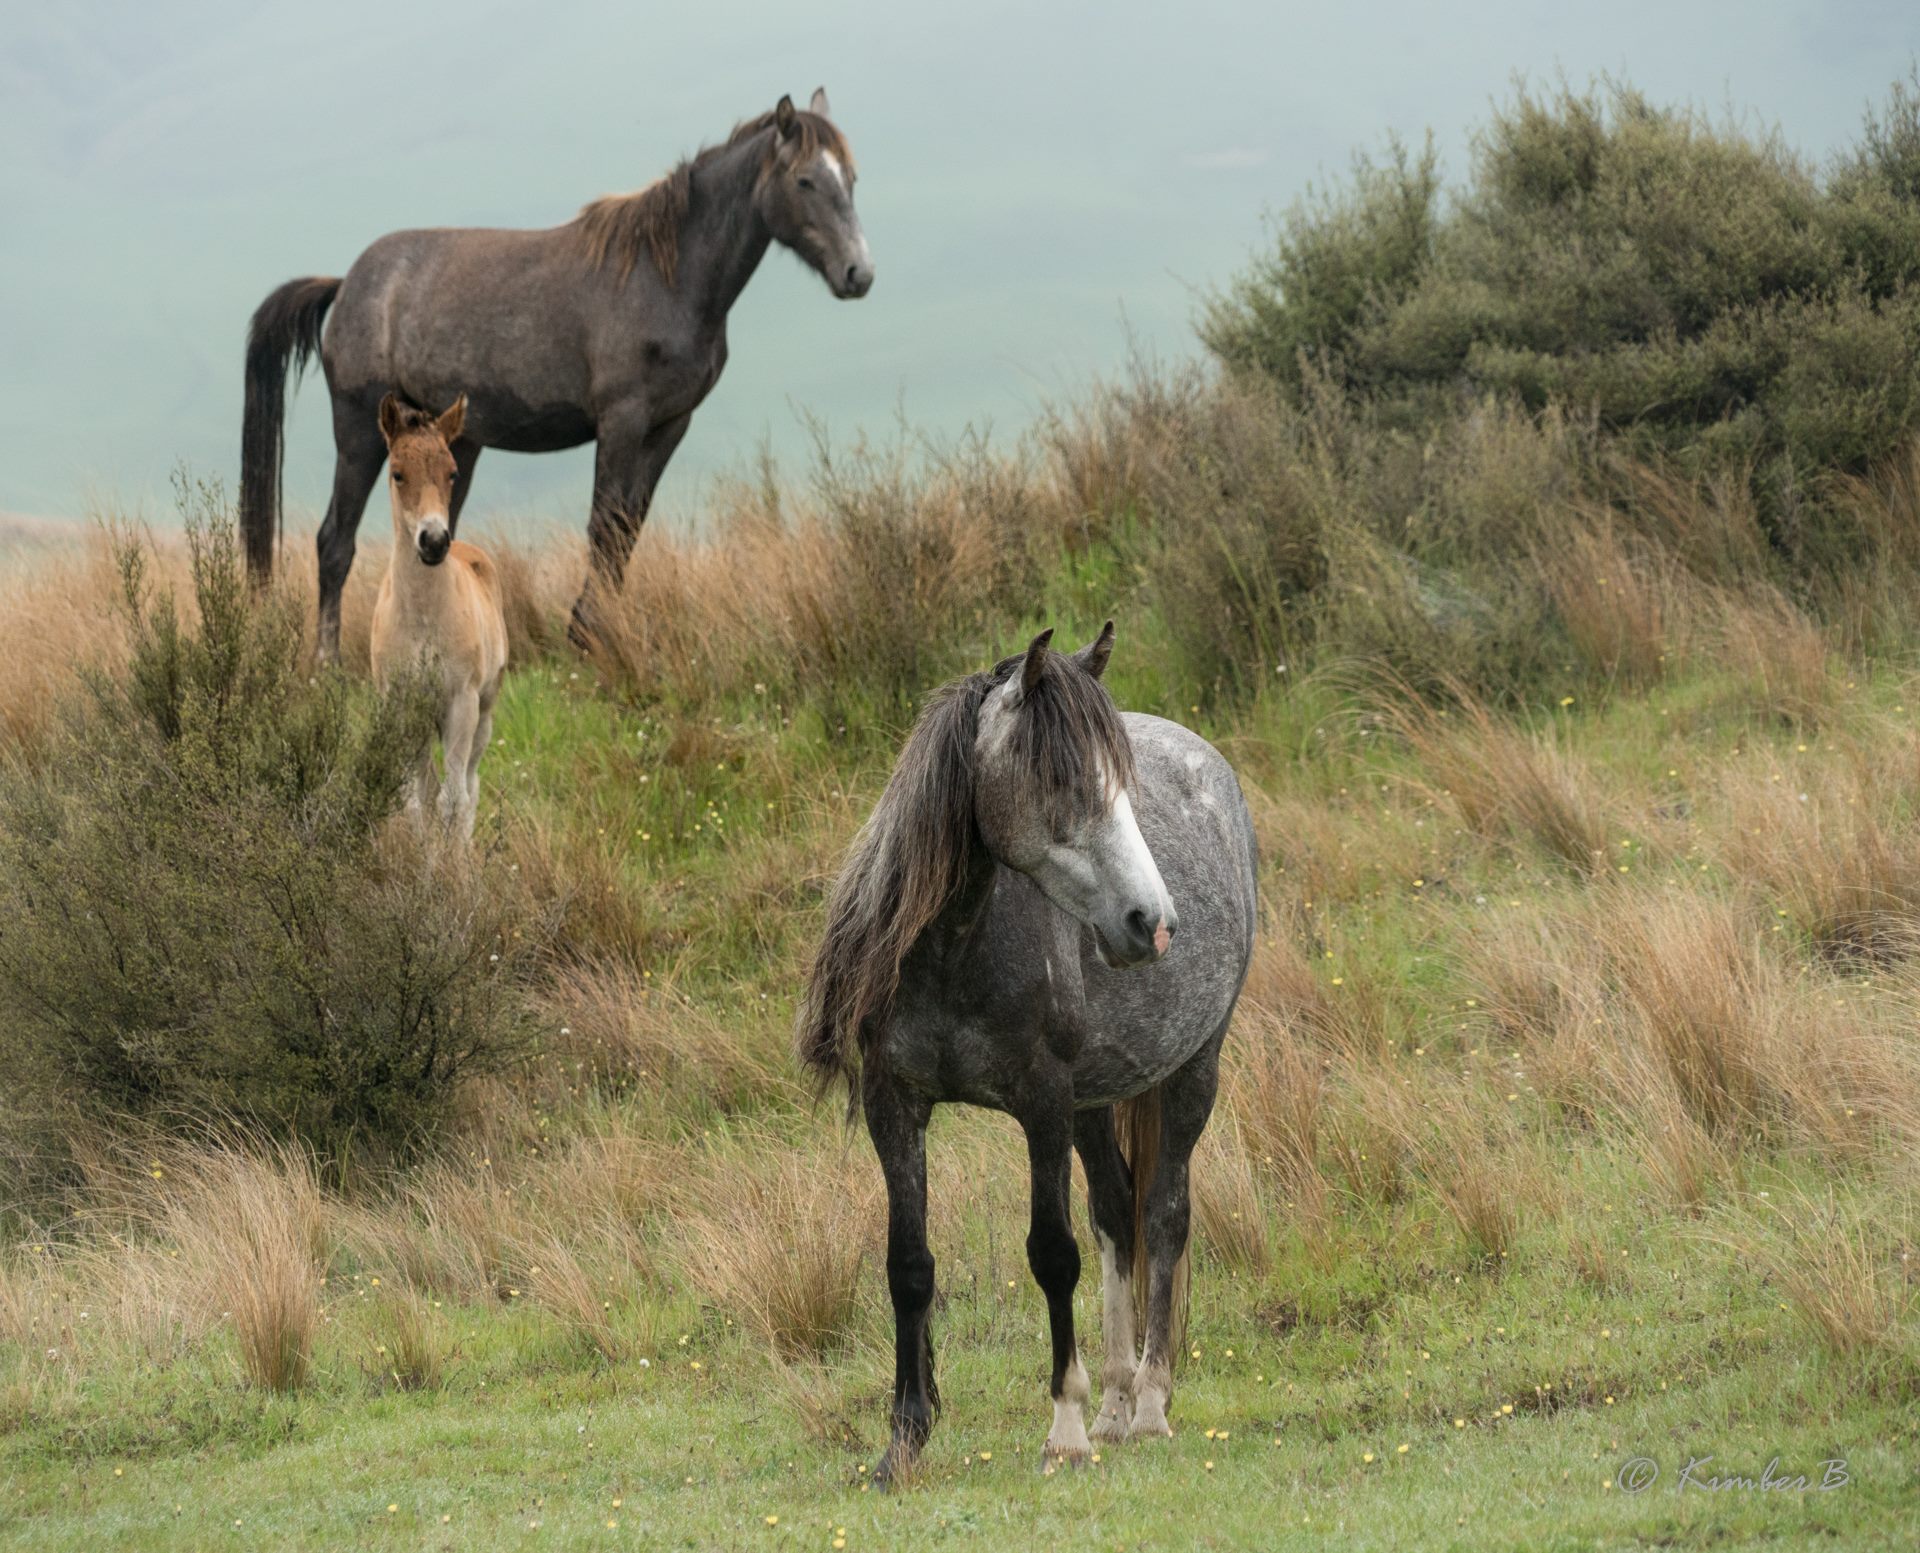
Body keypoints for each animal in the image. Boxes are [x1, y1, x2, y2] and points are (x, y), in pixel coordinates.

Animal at [241, 89, 879, 660]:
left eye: (850, 179)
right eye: (804, 181)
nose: (859, 274)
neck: (665, 278)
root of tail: (347, 283)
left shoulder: (671, 424)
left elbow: (628, 530)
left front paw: (601, 632)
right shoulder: (622, 421)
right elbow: (604, 527)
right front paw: (587, 638)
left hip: (451, 443)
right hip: (358, 431)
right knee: (335, 542)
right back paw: (326, 663)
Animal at [368, 393, 506, 840]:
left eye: (452, 472)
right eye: (397, 473)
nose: (433, 542)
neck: (423, 622)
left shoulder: (460, 703)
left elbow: (453, 800)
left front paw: (450, 863)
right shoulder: (400, 706)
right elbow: (415, 803)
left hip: (484, 711)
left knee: (470, 788)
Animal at [798, 625, 1259, 1481]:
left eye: (1125, 787)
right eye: (1060, 779)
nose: (1152, 922)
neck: (953, 950)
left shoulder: (1042, 1101)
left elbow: (1052, 1252)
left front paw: (1064, 1428)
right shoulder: (894, 1103)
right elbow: (908, 1265)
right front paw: (904, 1439)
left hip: (1191, 1072)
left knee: (1164, 1214)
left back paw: (1147, 1405)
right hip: (1097, 1099)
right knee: (1116, 1210)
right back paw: (1115, 1404)